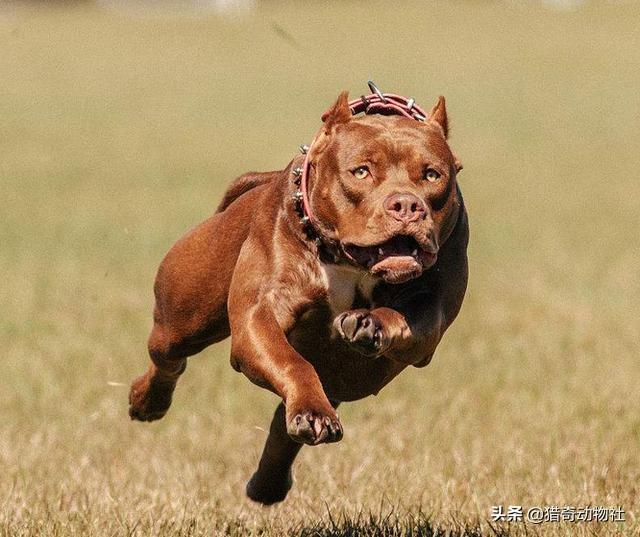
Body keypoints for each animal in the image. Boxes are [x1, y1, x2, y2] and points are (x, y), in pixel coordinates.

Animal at [127, 86, 468, 504]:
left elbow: (404, 320)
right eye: (361, 171)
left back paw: (271, 478)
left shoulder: (430, 318)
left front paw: (369, 324)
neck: (347, 260)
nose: (406, 205)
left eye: (432, 175)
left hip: (340, 375)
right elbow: (291, 364)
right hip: (183, 314)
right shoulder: (259, 319)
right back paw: (147, 401)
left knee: (286, 418)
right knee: (169, 357)